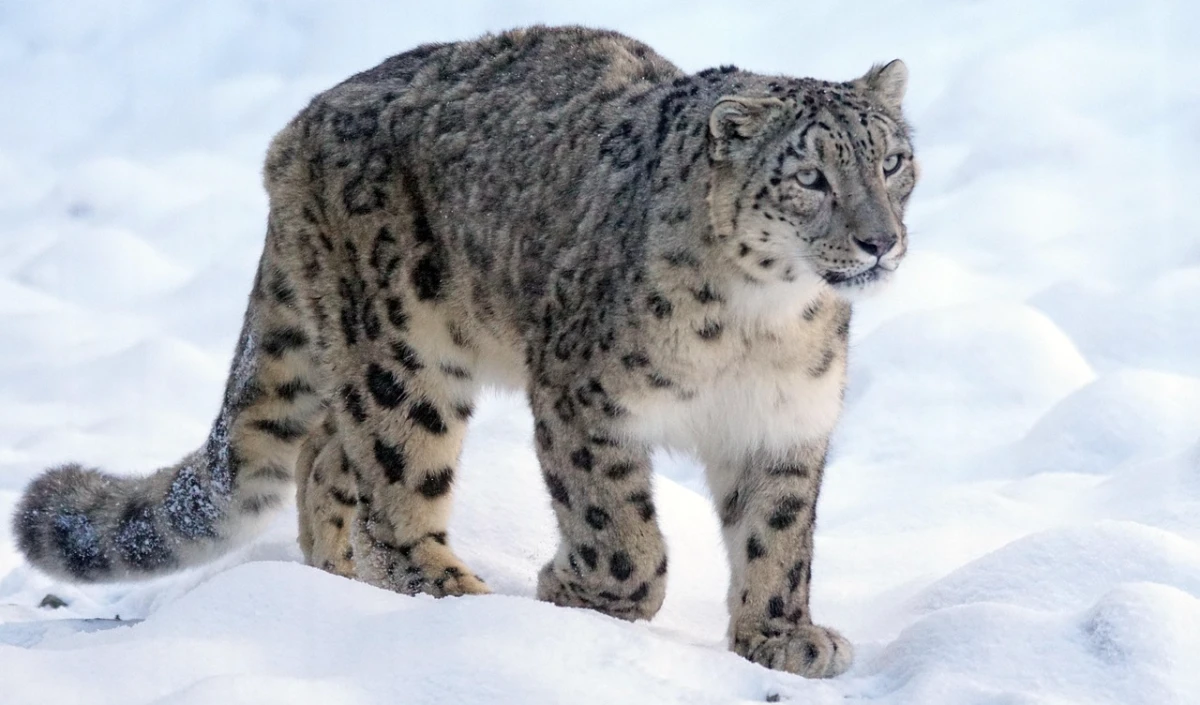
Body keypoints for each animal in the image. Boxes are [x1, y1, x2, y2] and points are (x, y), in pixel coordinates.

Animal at [12, 25, 917, 678]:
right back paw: (451, 595)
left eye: (893, 161)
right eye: (810, 177)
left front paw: (782, 635)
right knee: (391, 480)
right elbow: (620, 530)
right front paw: (575, 590)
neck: (763, 323)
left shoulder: (784, 423)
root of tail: (298, 127)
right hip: (402, 353)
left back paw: (337, 580)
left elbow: (779, 537)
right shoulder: (584, 398)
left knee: (325, 456)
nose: (880, 240)